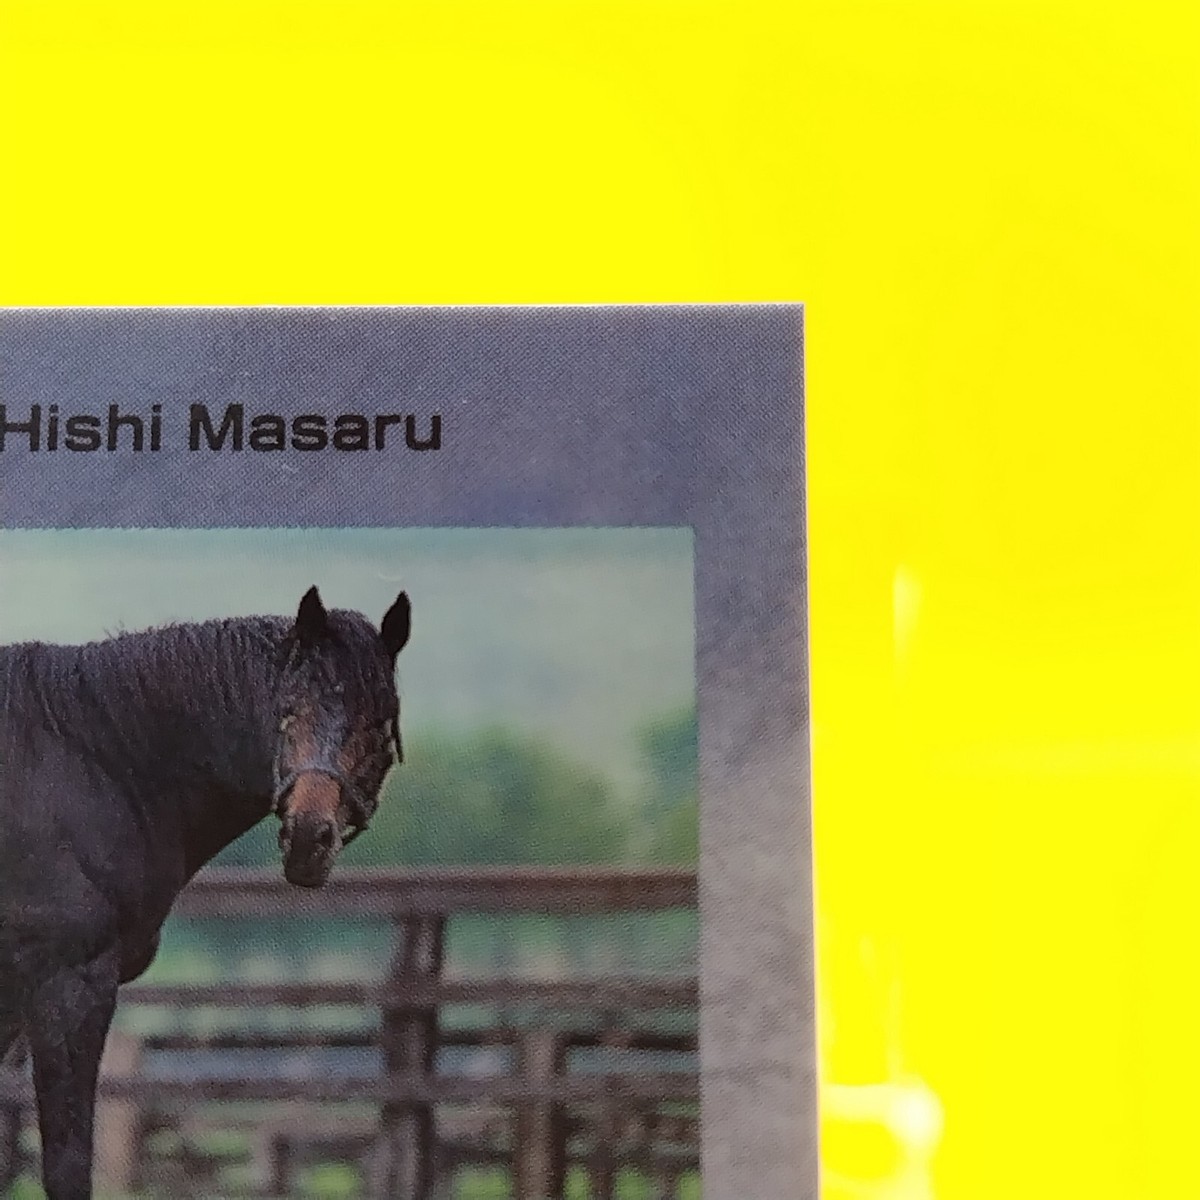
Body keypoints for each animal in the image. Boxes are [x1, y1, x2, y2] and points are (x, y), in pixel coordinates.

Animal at [0, 585, 411, 1198]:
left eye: (380, 721)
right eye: (289, 710)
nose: (308, 838)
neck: (85, 764)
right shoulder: (67, 985)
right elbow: (67, 1166)